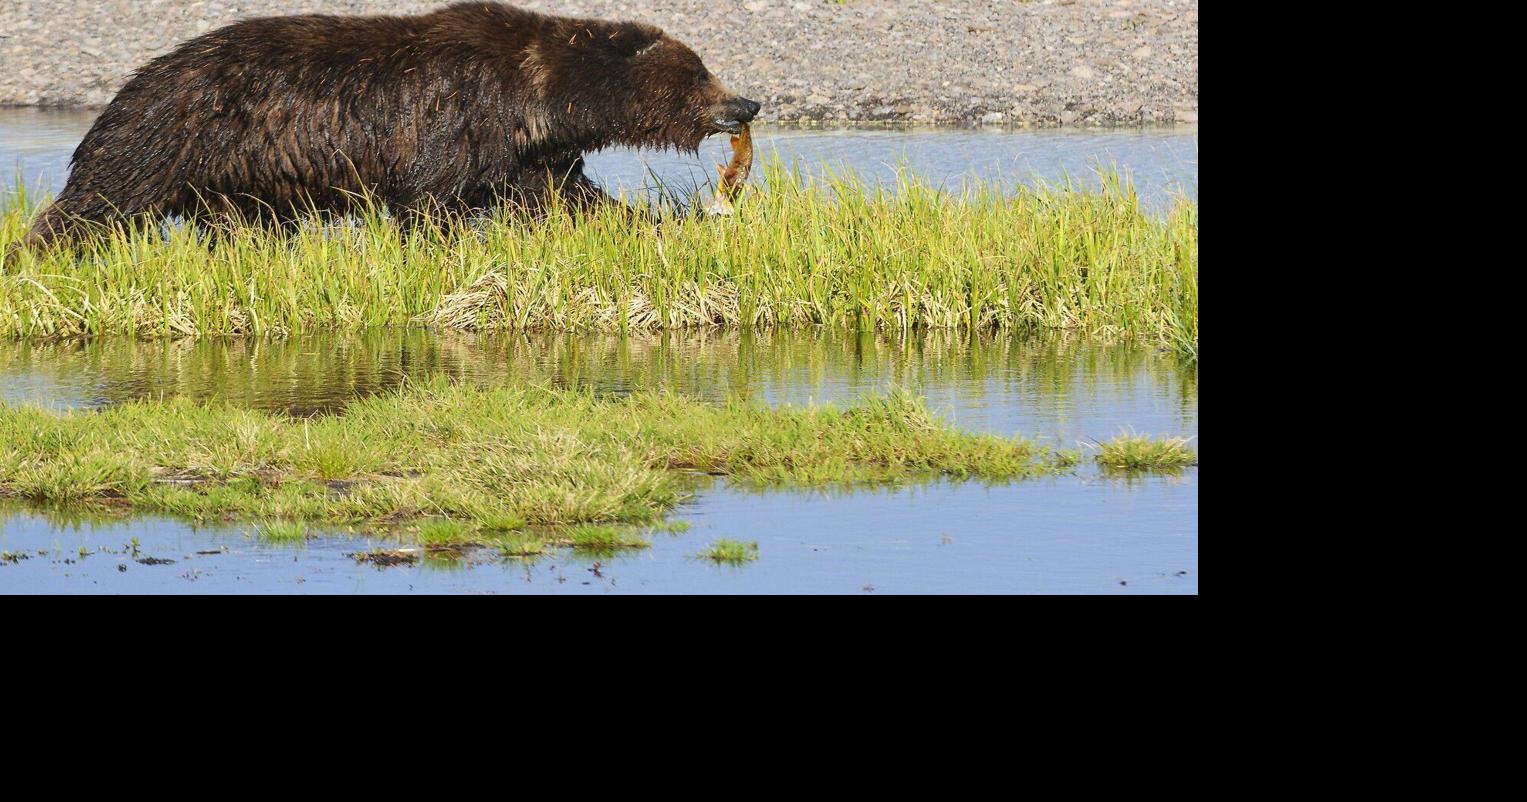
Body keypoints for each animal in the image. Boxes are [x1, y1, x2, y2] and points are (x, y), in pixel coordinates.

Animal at [20, 2, 760, 247]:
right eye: (699, 72)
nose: (747, 104)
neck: (540, 98)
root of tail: (135, 77)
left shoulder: (523, 151)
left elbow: (562, 195)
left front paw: (648, 222)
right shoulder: (458, 118)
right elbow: (428, 199)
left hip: (233, 176)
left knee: (243, 226)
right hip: (170, 134)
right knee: (101, 199)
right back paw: (42, 251)